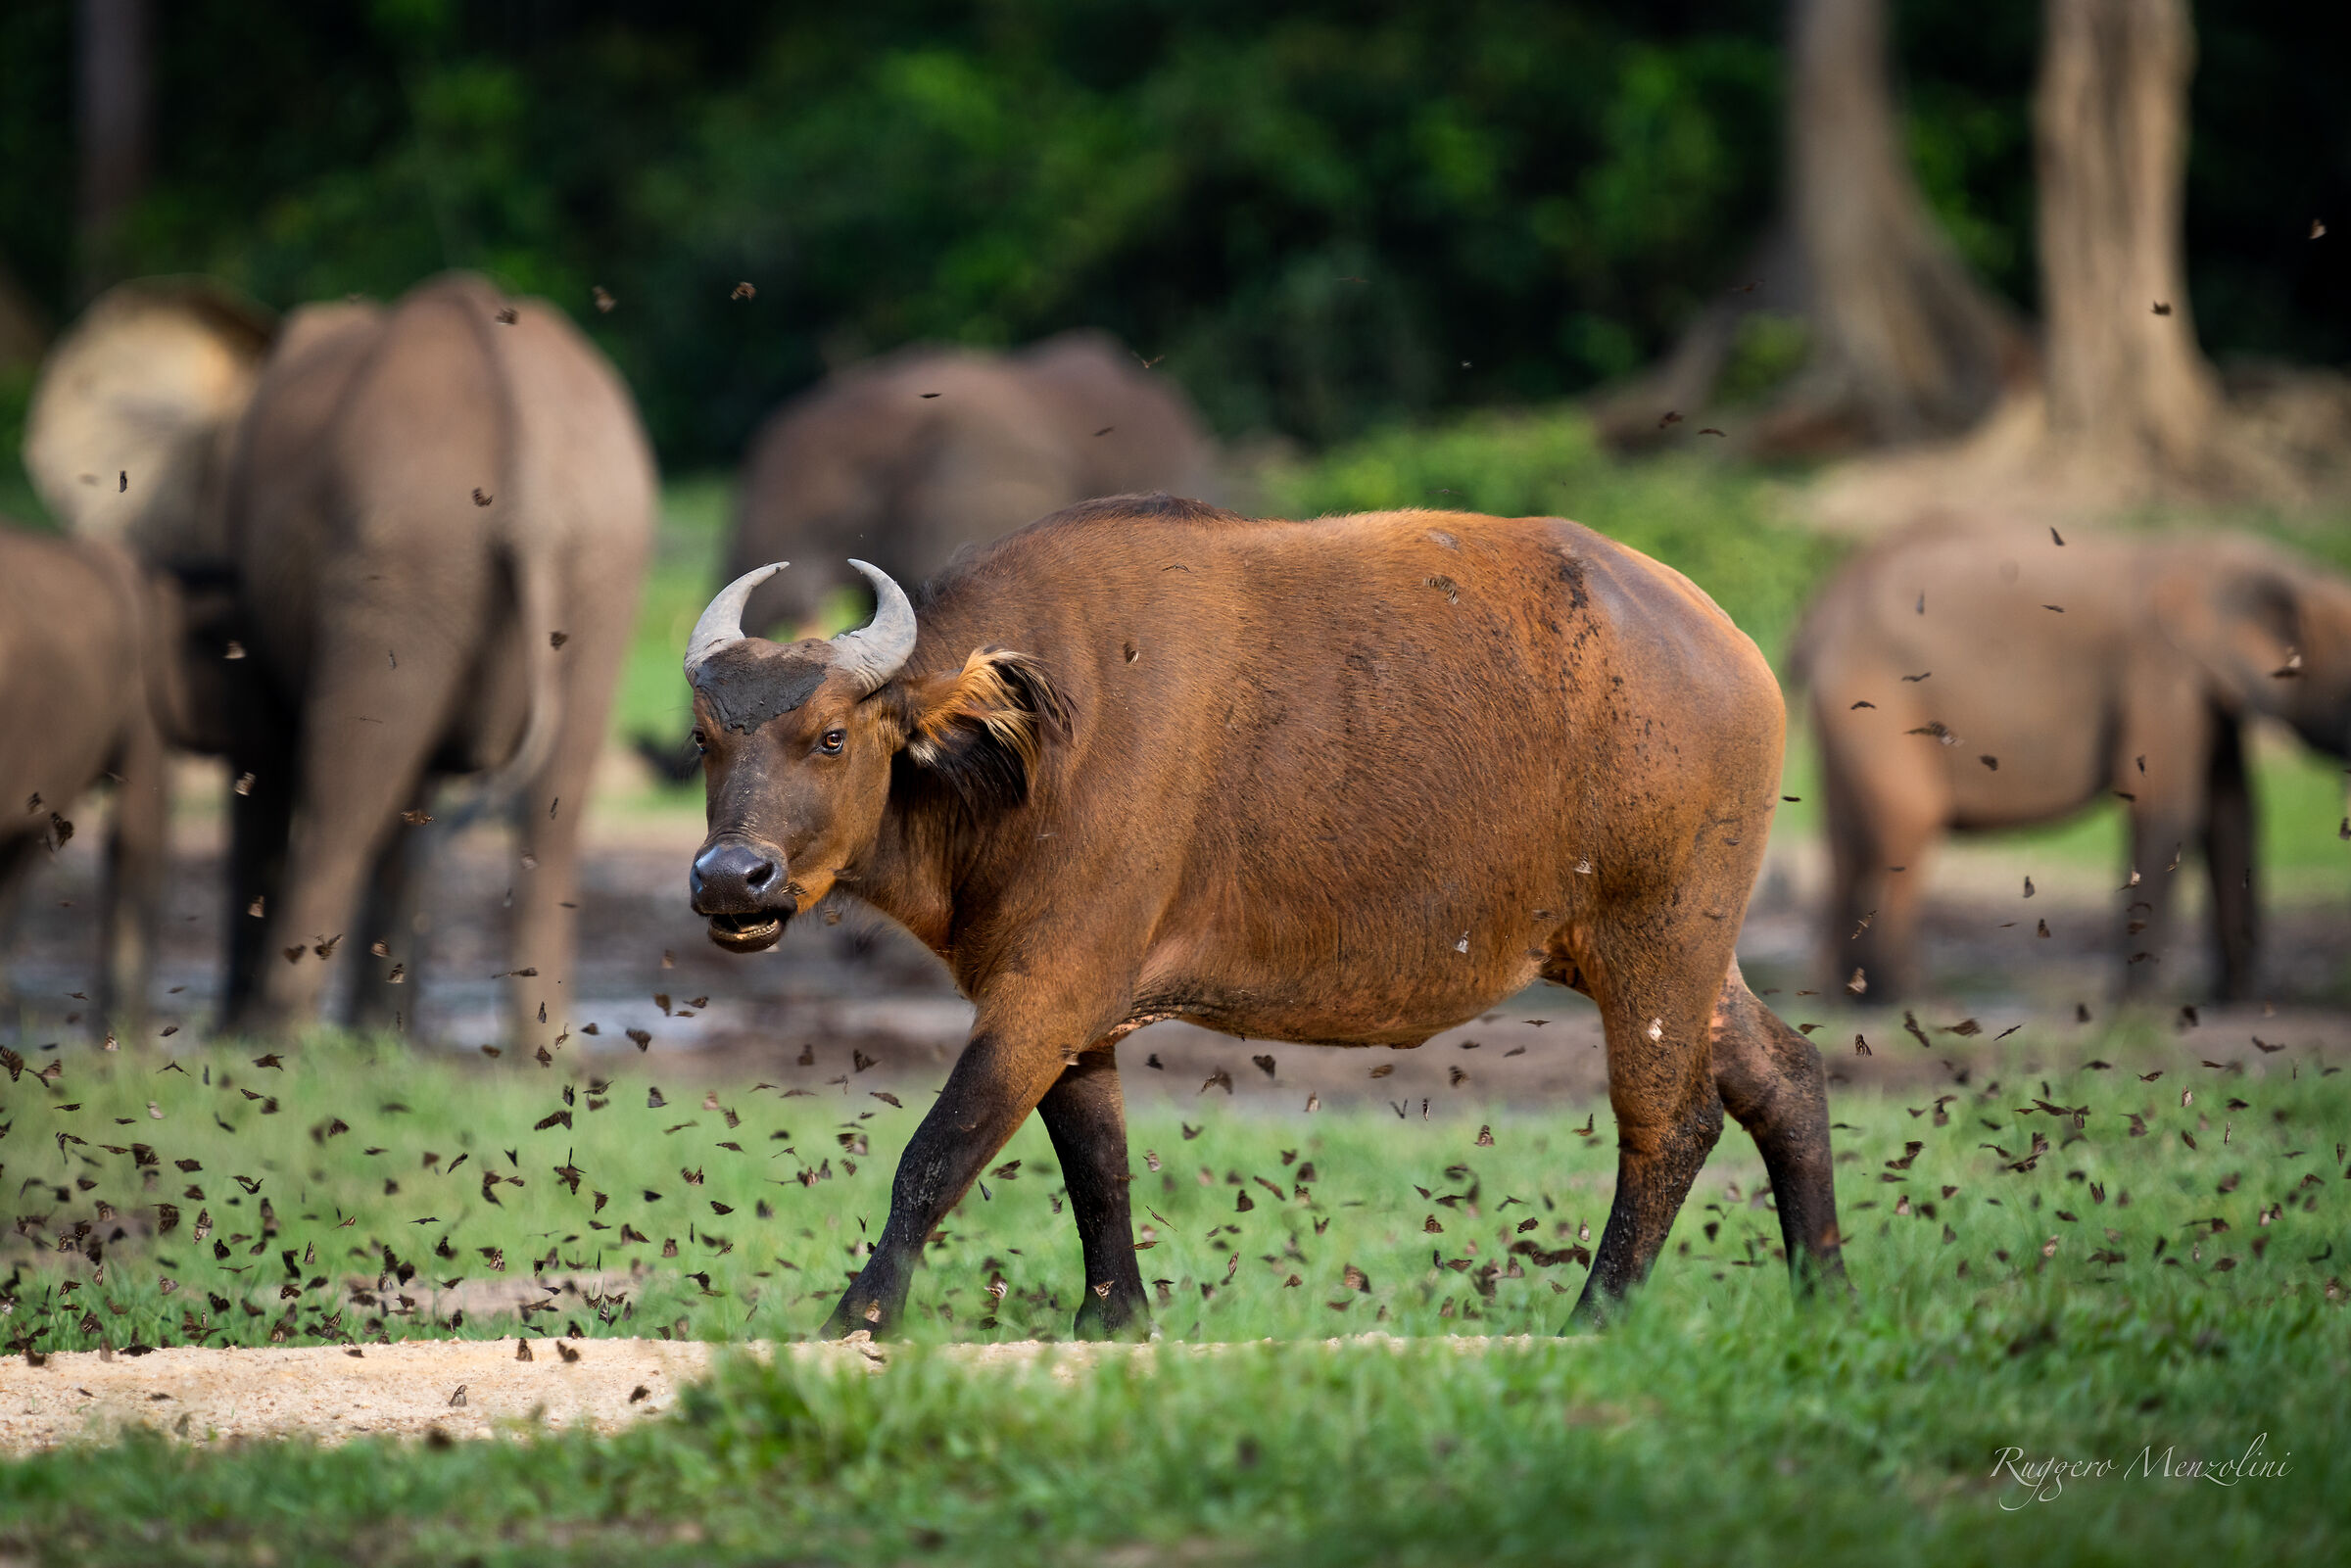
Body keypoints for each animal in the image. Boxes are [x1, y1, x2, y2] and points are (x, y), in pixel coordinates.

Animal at [684, 494, 1847, 1335]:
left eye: (832, 735)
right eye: (707, 738)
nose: (732, 878)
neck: (1026, 745)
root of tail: (1728, 648)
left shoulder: (1045, 990)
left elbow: (939, 1150)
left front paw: (858, 1314)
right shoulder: (1075, 1012)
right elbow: (1096, 1163)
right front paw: (1114, 1320)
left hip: (1656, 940)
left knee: (1671, 1123)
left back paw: (1597, 1316)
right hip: (1688, 956)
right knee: (1787, 1076)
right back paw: (1823, 1295)